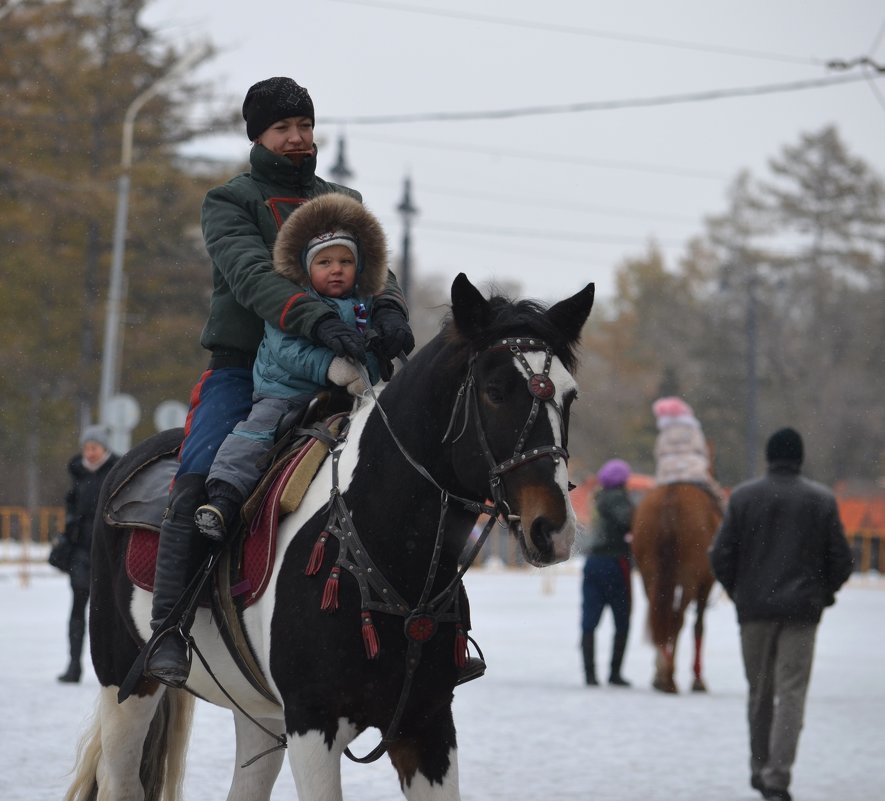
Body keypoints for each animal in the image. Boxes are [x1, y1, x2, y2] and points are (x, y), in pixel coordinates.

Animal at [65, 274, 592, 800]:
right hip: (125, 684)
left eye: (570, 397)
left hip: (258, 714)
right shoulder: (312, 726)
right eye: (496, 391)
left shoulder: (428, 727)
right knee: (121, 779)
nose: (553, 528)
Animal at [628, 482, 720, 692]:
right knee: (677, 619)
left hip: (650, 575)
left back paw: (662, 673)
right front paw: (698, 680)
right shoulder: (706, 583)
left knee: (660, 617)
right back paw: (669, 677)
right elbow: (699, 626)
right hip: (689, 578)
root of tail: (671, 497)